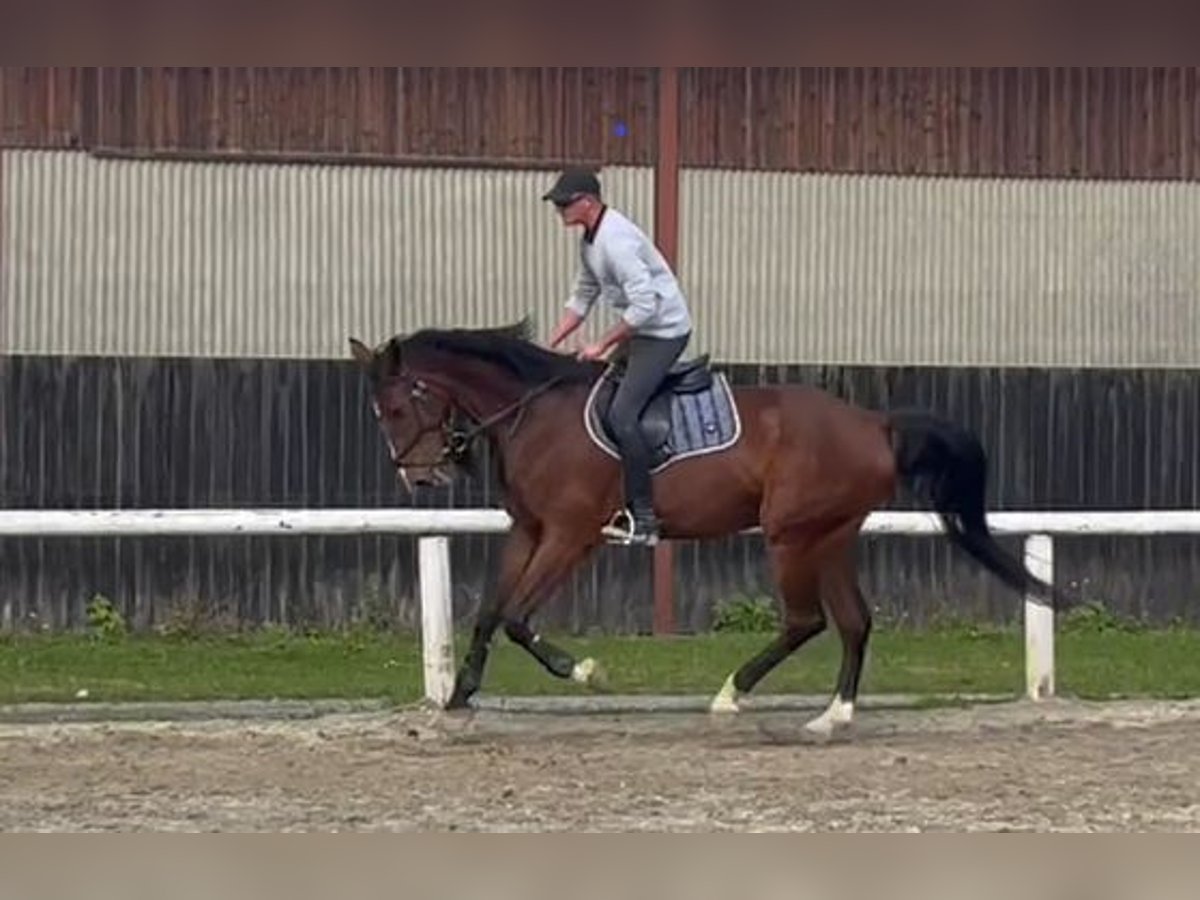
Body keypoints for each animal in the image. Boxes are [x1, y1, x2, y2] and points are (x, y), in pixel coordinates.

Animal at [348, 321, 1060, 734]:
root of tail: (873, 423)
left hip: (790, 535)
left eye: (396, 405)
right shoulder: (528, 530)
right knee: (854, 621)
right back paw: (833, 714)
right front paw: (459, 697)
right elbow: (491, 612)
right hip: (829, 534)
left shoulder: (571, 535)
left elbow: (521, 620)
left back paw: (731, 695)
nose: (420, 479)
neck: (533, 413)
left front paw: (584, 671)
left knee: (807, 620)